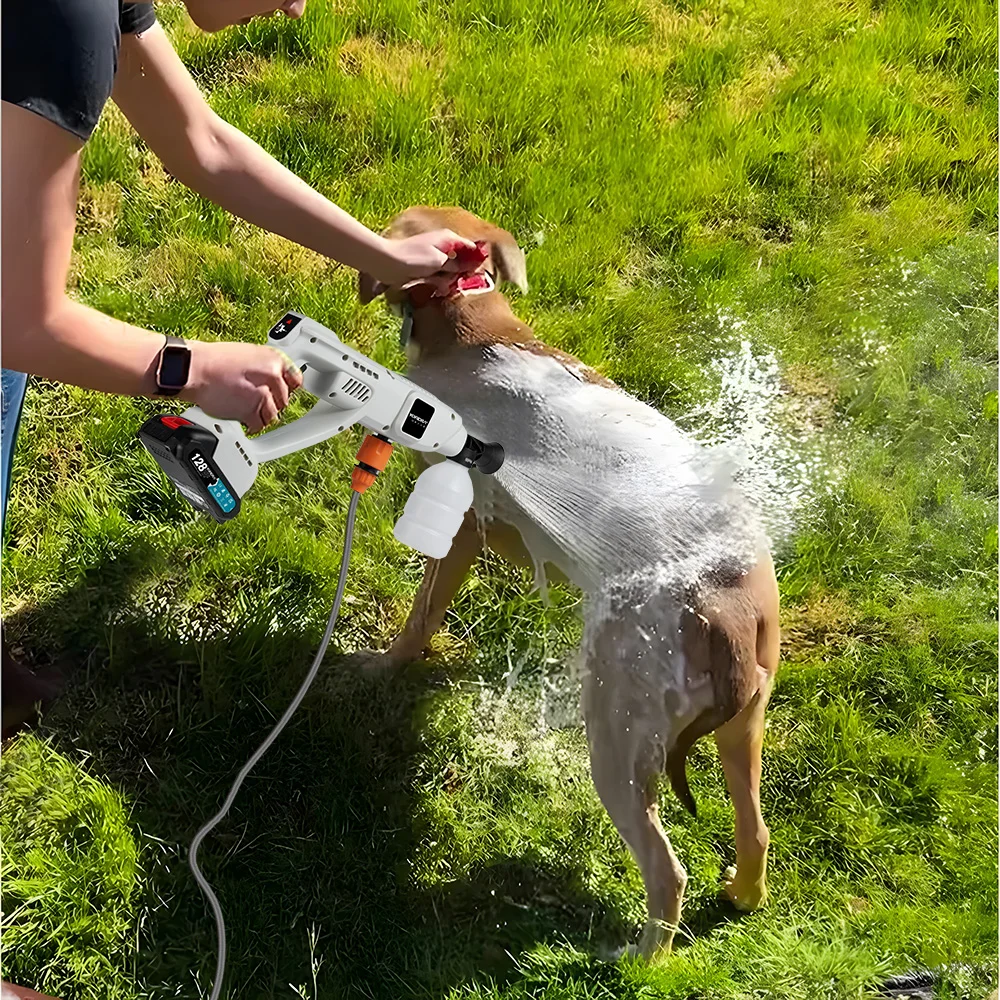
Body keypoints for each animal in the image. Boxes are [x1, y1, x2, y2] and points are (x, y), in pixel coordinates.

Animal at [360, 207, 780, 956]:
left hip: (618, 738)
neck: (478, 331)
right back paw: (740, 895)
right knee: (756, 829)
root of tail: (727, 616)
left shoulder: (459, 525)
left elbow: (420, 615)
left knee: (666, 870)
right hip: (744, 727)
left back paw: (640, 959)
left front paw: (381, 667)